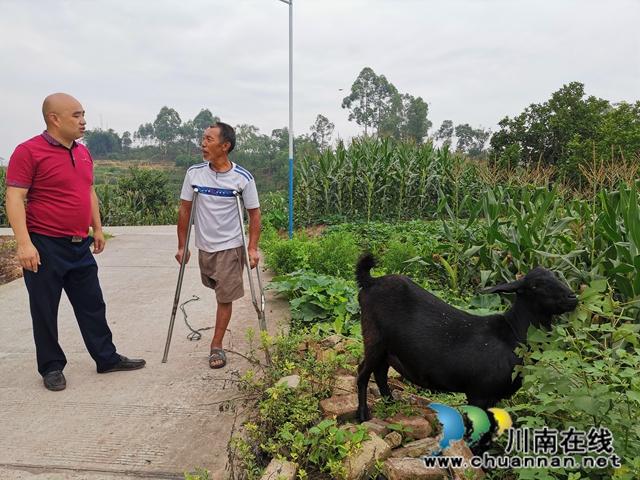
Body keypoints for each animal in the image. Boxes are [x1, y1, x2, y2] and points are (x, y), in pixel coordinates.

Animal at [358, 253, 576, 422]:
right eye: (537, 285)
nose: (572, 297)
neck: (512, 333)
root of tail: (371, 281)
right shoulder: (480, 394)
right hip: (374, 339)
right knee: (363, 372)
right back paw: (363, 415)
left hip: (387, 348)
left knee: (380, 372)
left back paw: (390, 403)